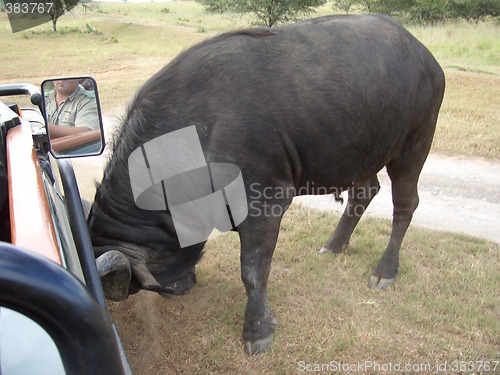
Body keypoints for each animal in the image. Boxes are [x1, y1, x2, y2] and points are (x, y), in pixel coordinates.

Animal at [90, 14, 446, 356]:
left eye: (134, 286)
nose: (181, 288)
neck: (198, 134)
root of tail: (425, 56)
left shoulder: (264, 206)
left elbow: (252, 271)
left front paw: (257, 330)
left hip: (413, 145)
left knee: (405, 204)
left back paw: (385, 270)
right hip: (359, 152)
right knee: (364, 191)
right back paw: (334, 245)